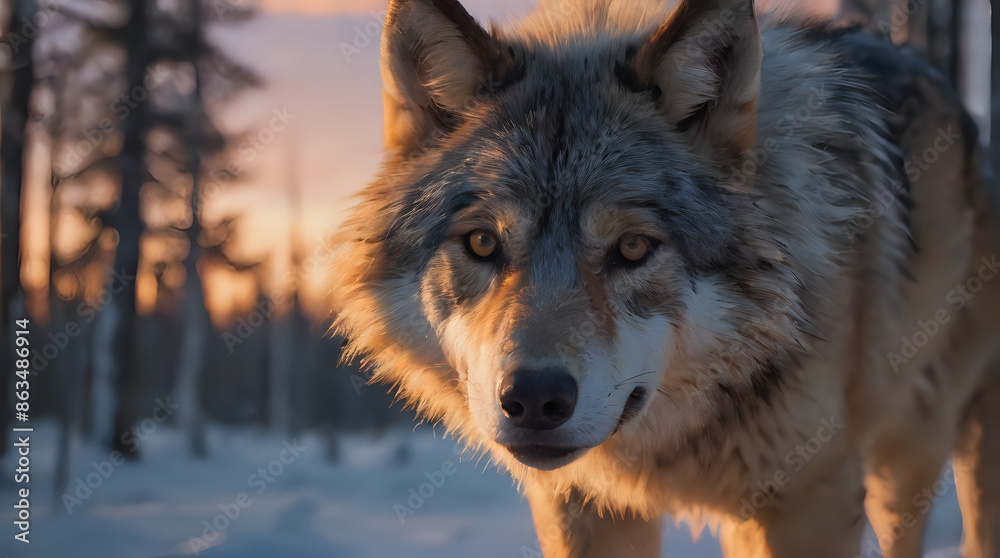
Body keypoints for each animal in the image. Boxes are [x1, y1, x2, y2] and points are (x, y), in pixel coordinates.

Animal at [330, 0, 1000, 555]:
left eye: (632, 247)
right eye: (481, 243)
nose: (534, 398)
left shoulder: (811, 500)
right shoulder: (582, 506)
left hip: (913, 458)